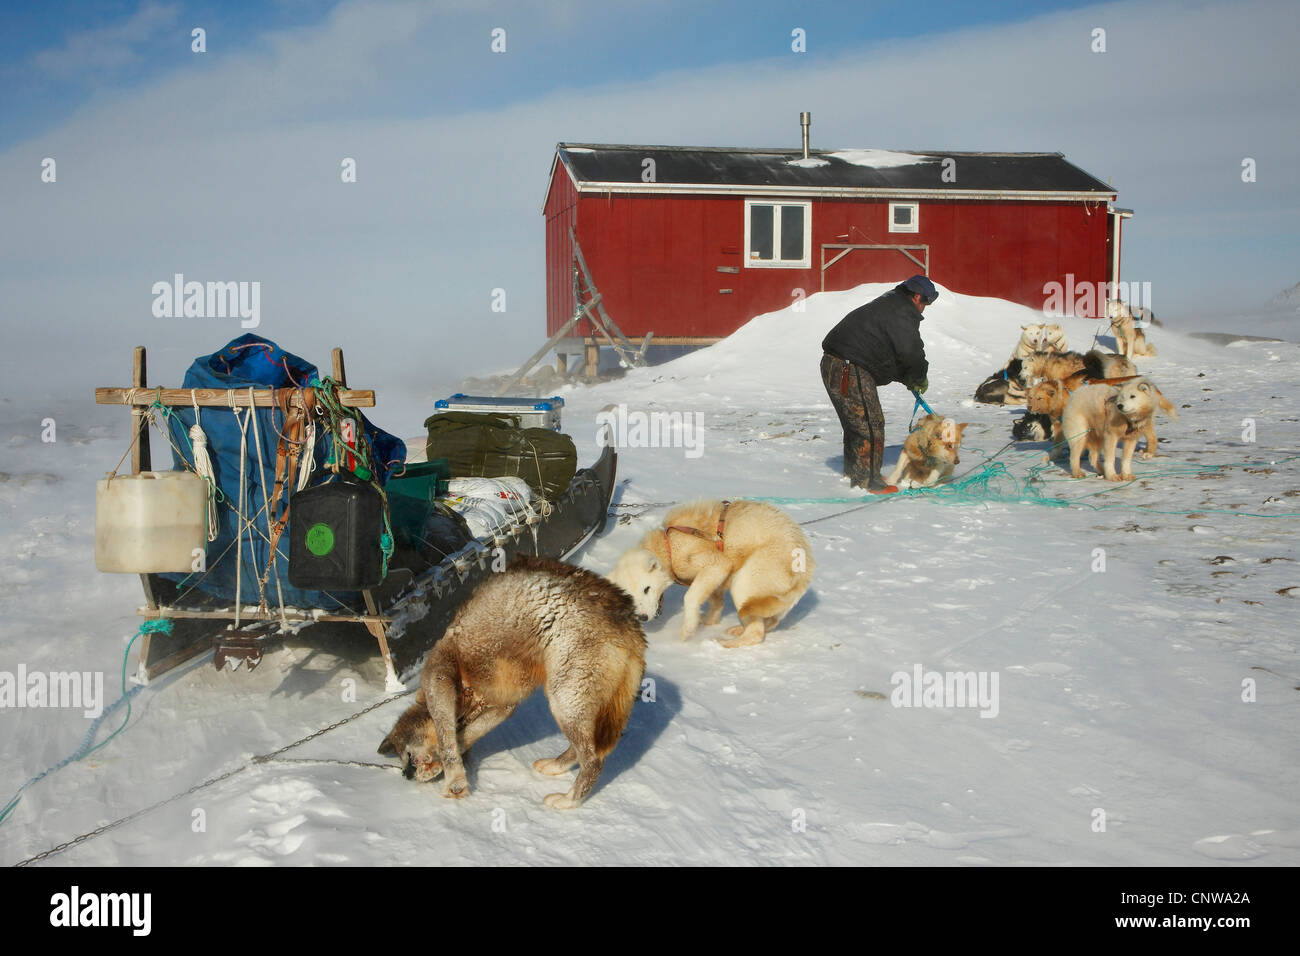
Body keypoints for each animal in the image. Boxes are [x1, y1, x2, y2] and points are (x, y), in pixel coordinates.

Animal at [379, 556, 647, 811]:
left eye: (405, 755)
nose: (405, 775)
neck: (467, 697)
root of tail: (631, 625)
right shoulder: (502, 706)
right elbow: (464, 736)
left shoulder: (439, 676)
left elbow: (447, 740)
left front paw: (453, 780)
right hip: (574, 705)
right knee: (582, 750)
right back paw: (554, 766)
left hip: (564, 700)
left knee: (593, 760)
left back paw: (567, 800)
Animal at [608, 502, 811, 650]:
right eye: (629, 596)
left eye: (646, 589)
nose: (642, 618)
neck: (668, 546)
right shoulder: (716, 577)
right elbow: (715, 602)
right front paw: (706, 622)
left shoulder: (716, 565)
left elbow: (690, 597)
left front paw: (688, 630)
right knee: (768, 622)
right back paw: (738, 630)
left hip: (744, 583)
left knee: (757, 633)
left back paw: (726, 643)